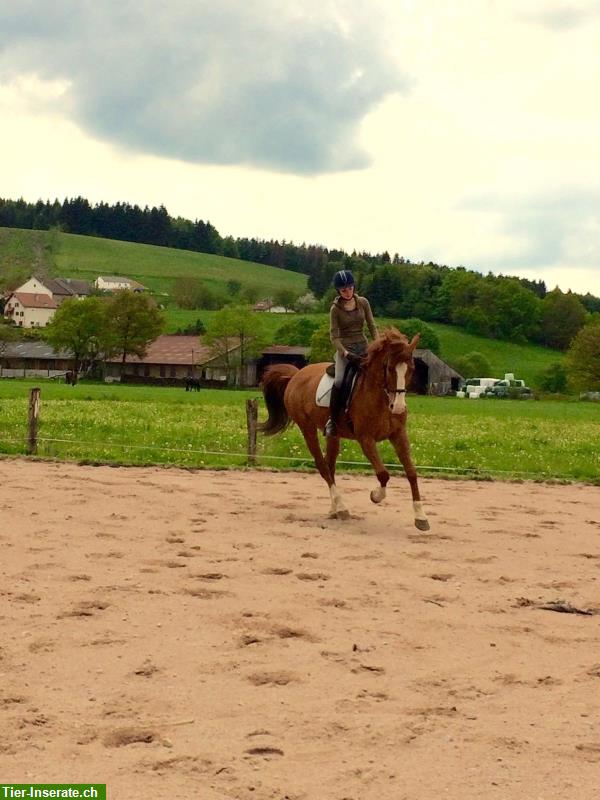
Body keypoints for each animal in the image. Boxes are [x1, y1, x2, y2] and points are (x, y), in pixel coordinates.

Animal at [260, 328, 428, 528]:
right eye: (388, 369)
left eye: (411, 369)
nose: (399, 408)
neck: (380, 397)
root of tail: (296, 375)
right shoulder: (366, 439)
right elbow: (383, 474)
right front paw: (376, 496)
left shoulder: (398, 435)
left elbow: (411, 473)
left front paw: (421, 517)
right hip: (307, 428)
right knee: (322, 466)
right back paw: (341, 507)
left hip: (333, 435)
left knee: (329, 465)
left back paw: (335, 509)